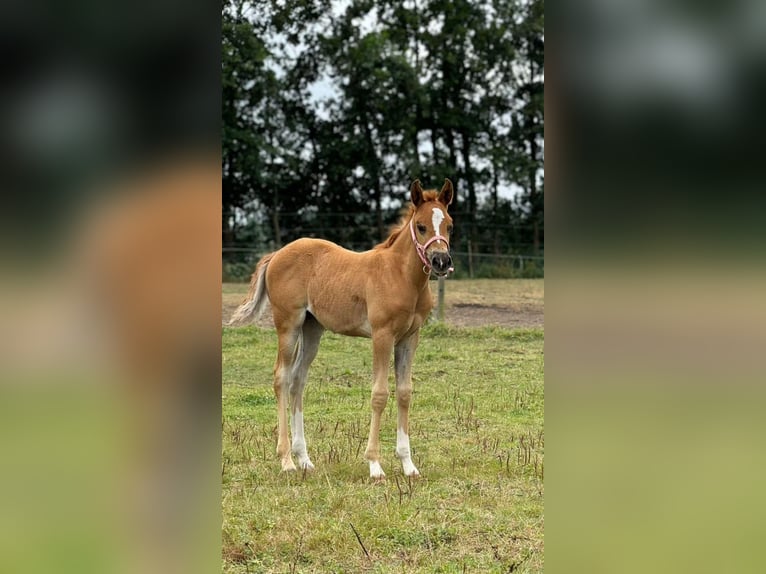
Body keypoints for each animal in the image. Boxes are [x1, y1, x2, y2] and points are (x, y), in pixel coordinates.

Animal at [228, 180, 456, 482]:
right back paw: (286, 460)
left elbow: (405, 393)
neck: (401, 276)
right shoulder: (382, 336)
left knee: (297, 380)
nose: (441, 261)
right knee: (281, 377)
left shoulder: (410, 338)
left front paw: (409, 465)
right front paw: (375, 465)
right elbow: (380, 394)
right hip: (288, 324)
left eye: (450, 226)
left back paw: (304, 459)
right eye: (420, 226)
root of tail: (277, 254)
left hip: (312, 328)